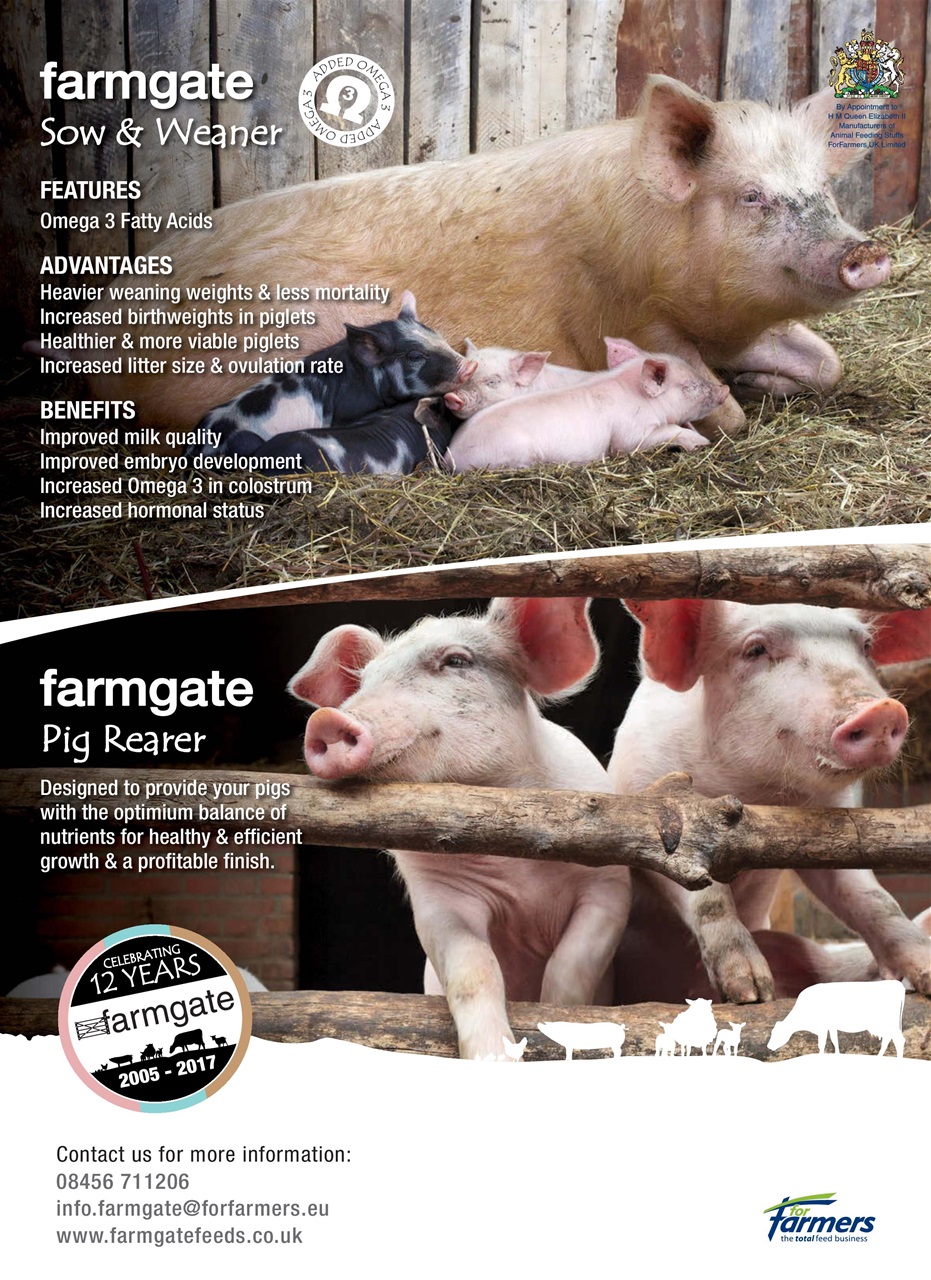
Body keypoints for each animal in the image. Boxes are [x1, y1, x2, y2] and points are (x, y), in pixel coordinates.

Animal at [86, 76, 889, 437]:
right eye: (751, 197)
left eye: (824, 189)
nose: (866, 251)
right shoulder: (625, 314)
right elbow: (721, 408)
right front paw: (736, 398)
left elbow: (827, 363)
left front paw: (763, 379)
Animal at [185, 293, 474, 459]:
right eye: (414, 355)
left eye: (437, 335)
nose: (470, 366)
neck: (365, 380)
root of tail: (190, 451)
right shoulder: (348, 413)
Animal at [288, 597, 631, 1061]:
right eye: (365, 681)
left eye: (456, 661)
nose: (327, 719)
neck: (519, 873)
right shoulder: (439, 900)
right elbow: (474, 968)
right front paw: (492, 1058)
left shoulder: (610, 882)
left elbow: (570, 966)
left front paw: (557, 1017)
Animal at [445, 338, 727, 472]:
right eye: (689, 386)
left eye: (492, 380)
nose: (725, 389)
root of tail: (449, 455)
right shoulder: (630, 435)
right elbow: (656, 436)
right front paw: (703, 443)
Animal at [609, 600, 931, 1006]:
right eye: (756, 650)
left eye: (867, 647)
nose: (882, 710)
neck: (756, 791)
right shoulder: (654, 804)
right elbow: (706, 897)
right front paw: (751, 990)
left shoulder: (834, 828)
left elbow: (870, 896)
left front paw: (927, 969)